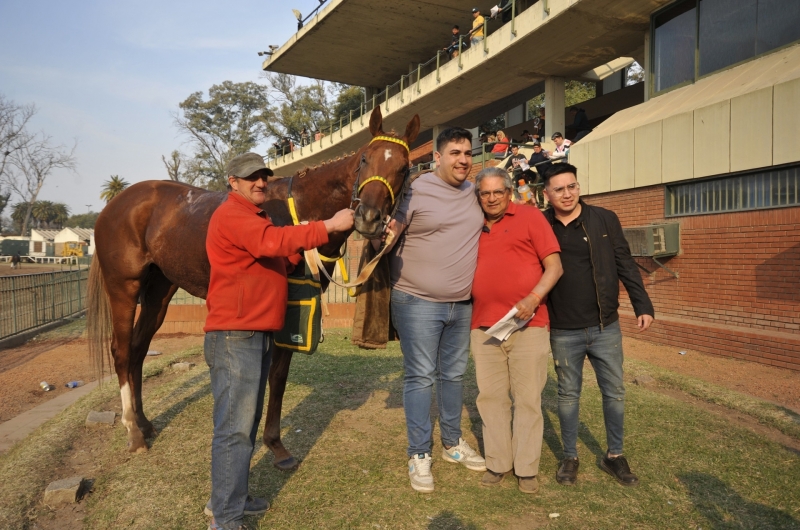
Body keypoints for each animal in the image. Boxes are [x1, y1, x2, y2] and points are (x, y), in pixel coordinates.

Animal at [88, 109, 422, 464]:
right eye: (365, 159)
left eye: (404, 167)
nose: (368, 218)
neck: (298, 208)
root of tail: (113, 205)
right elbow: (272, 374)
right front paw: (272, 441)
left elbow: (276, 375)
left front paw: (273, 442)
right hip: (124, 287)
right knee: (122, 350)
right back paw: (133, 431)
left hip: (159, 290)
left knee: (139, 348)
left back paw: (144, 422)